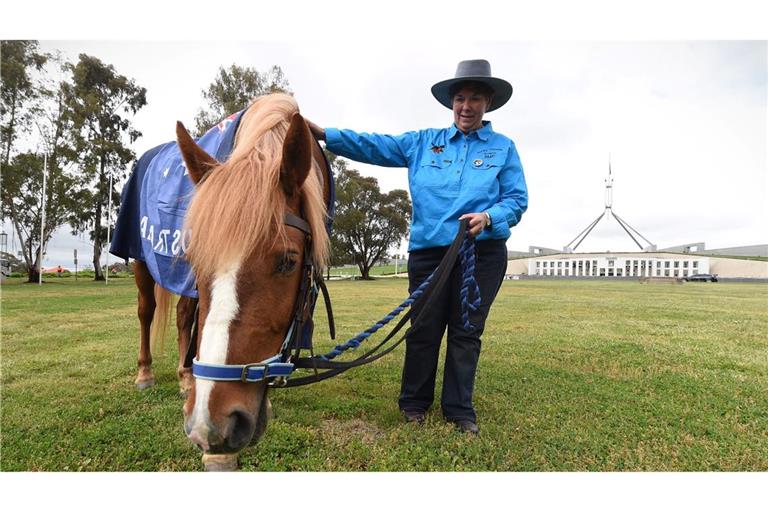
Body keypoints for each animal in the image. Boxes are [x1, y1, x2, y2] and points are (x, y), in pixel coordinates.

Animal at [129, 94, 330, 466]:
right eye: (194, 258)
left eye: (288, 261)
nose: (212, 425)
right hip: (139, 260)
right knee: (146, 311)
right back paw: (146, 373)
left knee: (183, 316)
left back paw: (184, 377)